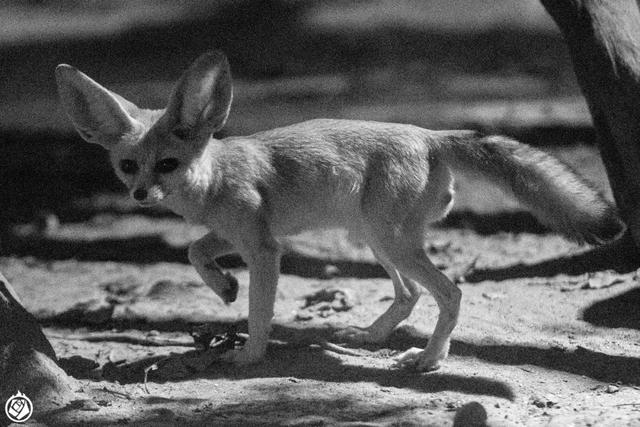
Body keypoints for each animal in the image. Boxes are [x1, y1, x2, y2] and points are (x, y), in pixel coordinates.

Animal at [56, 50, 624, 372]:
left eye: (168, 164)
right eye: (129, 166)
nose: (140, 196)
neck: (214, 178)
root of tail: (430, 133)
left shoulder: (265, 248)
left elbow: (259, 313)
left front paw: (249, 354)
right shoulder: (234, 235)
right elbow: (195, 253)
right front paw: (224, 288)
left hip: (388, 240)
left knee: (450, 292)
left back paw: (428, 360)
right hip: (376, 240)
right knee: (411, 294)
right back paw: (369, 337)